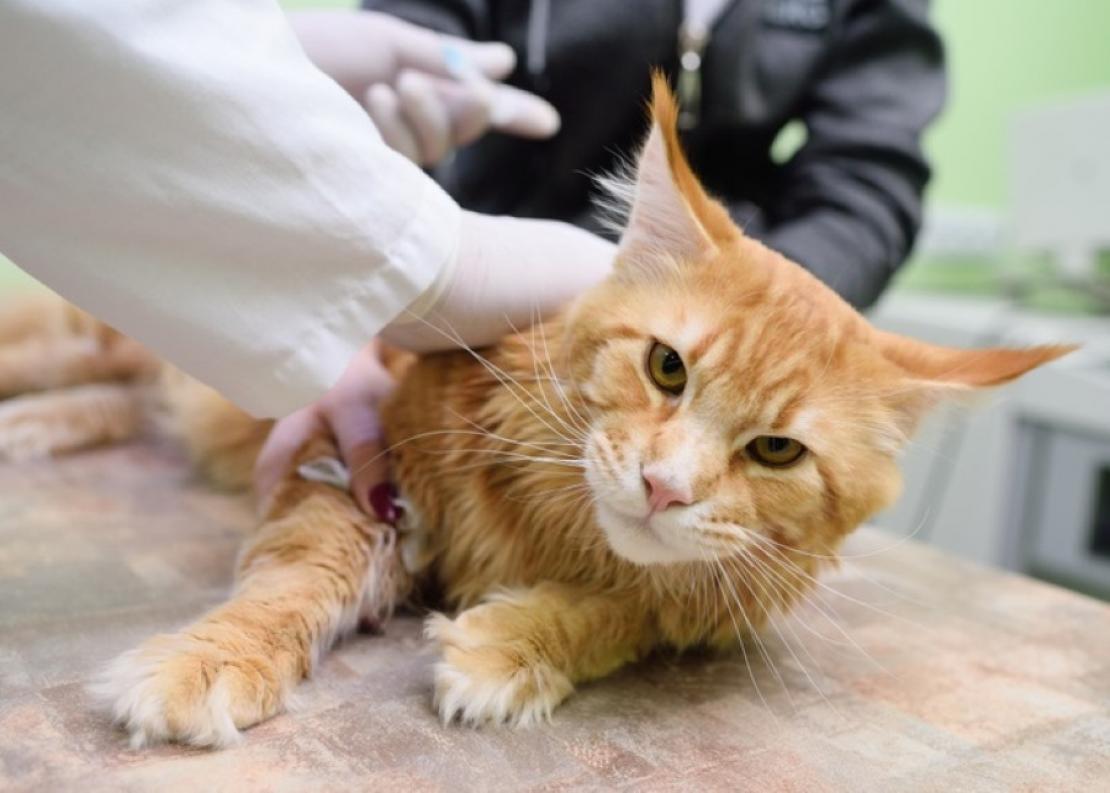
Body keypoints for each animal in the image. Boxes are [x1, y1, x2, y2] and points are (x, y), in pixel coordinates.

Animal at [2, 75, 1074, 746]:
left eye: (775, 450)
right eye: (668, 367)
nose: (664, 486)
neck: (557, 527)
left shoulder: (696, 603)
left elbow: (623, 608)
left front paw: (509, 645)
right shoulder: (357, 474)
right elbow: (296, 579)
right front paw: (208, 660)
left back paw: (36, 431)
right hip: (91, 330)